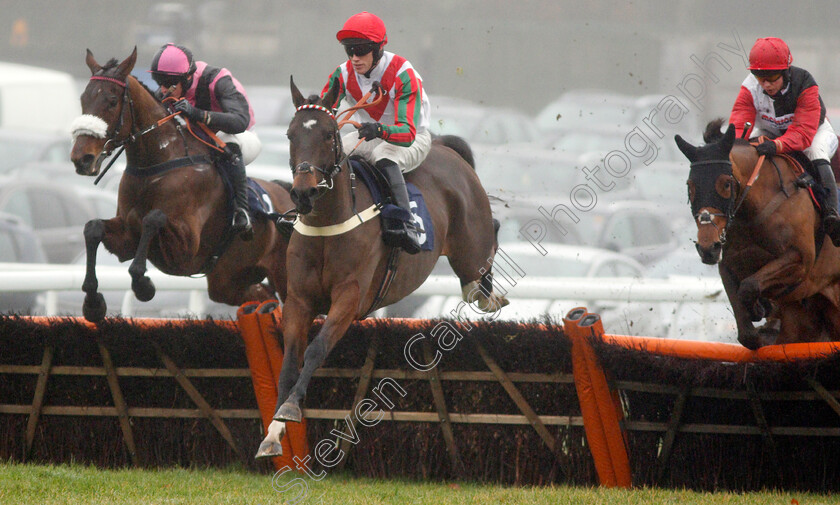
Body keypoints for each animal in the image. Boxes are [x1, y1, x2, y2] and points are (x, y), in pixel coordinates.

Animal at [71, 49, 296, 320]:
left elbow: (153, 218)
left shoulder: (186, 247)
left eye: (112, 101)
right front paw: (93, 302)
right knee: (263, 296)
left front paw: (143, 285)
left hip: (283, 273)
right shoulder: (126, 237)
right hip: (227, 281)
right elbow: (93, 228)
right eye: (83, 99)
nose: (81, 159)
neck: (156, 166)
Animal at [253, 78, 508, 456]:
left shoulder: (349, 298)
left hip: (470, 249)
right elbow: (288, 363)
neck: (328, 224)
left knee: (486, 249)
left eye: (329, 134)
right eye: (290, 134)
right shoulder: (298, 299)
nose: (303, 193)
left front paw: (290, 408)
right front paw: (273, 432)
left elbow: (316, 349)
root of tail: (446, 149)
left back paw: (490, 294)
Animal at [672, 118, 840, 346]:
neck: (752, 213)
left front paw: (760, 309)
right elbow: (747, 334)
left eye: (726, 183)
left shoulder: (800, 259)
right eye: (690, 186)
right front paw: (760, 314)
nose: (708, 248)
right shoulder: (728, 265)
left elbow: (749, 285)